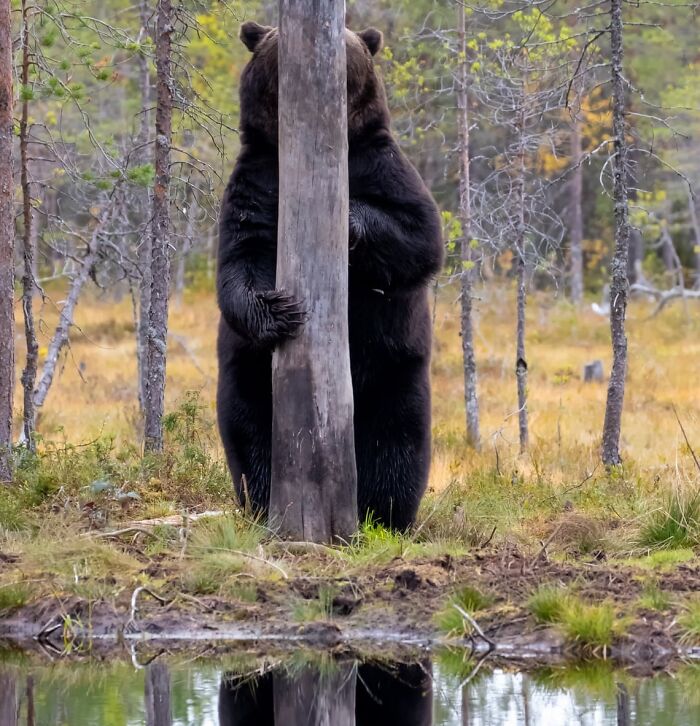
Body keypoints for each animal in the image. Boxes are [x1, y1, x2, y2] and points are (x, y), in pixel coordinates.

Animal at [216, 21, 443, 530]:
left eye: (348, 41)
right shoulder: (258, 180)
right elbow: (240, 257)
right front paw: (279, 309)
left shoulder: (381, 165)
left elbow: (419, 236)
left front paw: (350, 218)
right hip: (248, 376)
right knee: (250, 434)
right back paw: (264, 501)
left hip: (395, 371)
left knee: (396, 444)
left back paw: (385, 514)